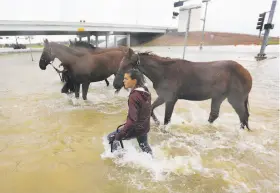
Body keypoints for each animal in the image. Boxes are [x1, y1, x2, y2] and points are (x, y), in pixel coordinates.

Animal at [112, 47, 253, 131]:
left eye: (126, 65)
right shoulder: (163, 97)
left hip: (235, 99)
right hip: (218, 97)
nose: (116, 84)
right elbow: (151, 109)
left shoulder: (170, 100)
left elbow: (167, 119)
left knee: (243, 116)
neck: (164, 72)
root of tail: (246, 72)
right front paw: (156, 123)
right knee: (215, 115)